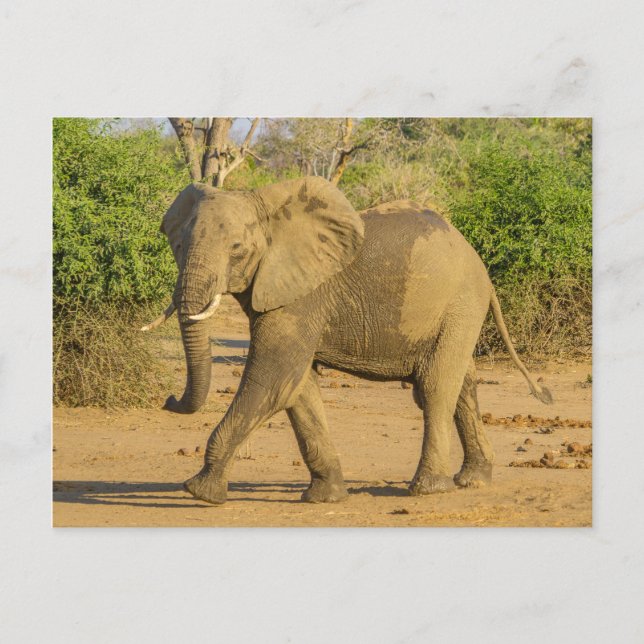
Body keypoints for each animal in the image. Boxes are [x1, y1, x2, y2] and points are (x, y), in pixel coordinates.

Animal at [143, 176, 552, 505]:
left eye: (237, 249)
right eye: (177, 246)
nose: (170, 399)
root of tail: (476, 260)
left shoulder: (303, 295)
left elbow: (272, 378)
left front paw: (200, 491)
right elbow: (297, 388)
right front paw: (325, 497)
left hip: (460, 303)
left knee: (436, 387)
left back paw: (427, 490)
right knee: (463, 384)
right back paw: (473, 480)